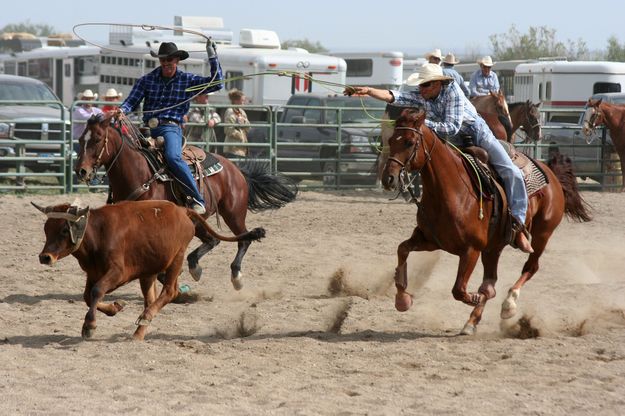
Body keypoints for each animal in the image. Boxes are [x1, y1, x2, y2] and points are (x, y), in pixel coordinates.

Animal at [34, 200, 264, 340]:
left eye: (64, 230)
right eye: (46, 229)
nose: (45, 257)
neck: (96, 234)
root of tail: (182, 210)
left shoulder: (118, 272)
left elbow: (96, 291)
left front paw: (89, 326)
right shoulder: (93, 272)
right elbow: (87, 295)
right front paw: (115, 307)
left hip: (177, 257)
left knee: (170, 291)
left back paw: (146, 316)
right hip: (149, 271)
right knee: (152, 298)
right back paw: (139, 332)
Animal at [73, 114, 298, 290]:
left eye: (97, 139)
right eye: (80, 139)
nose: (81, 171)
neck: (138, 174)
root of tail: (235, 169)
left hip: (233, 213)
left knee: (244, 238)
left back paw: (236, 277)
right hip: (197, 221)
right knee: (213, 240)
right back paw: (194, 266)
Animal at [380, 107, 588, 334]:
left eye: (409, 142)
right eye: (390, 140)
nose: (388, 178)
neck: (451, 191)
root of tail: (551, 173)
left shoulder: (471, 249)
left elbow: (459, 290)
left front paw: (475, 298)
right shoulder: (430, 240)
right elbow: (402, 249)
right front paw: (402, 298)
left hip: (542, 234)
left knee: (529, 268)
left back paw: (508, 305)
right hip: (493, 248)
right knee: (490, 282)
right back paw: (472, 321)